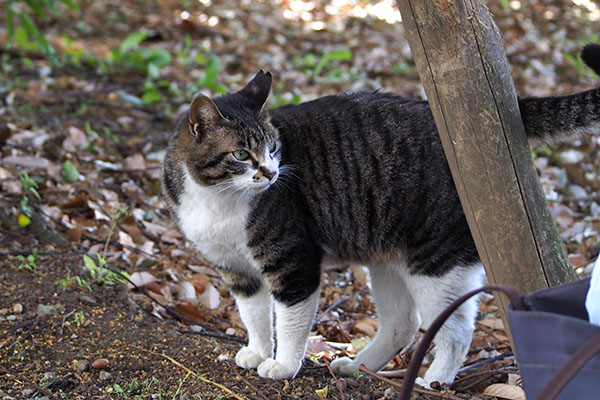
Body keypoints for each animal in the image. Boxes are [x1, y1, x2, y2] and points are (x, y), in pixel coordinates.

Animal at [161, 43, 600, 384]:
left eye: (272, 148)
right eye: (241, 154)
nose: (270, 173)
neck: (218, 200)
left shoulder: (294, 262)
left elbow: (289, 321)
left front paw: (282, 365)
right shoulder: (236, 270)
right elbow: (253, 315)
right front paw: (256, 351)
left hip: (436, 262)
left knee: (456, 330)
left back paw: (434, 379)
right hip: (388, 261)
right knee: (402, 324)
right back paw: (359, 367)